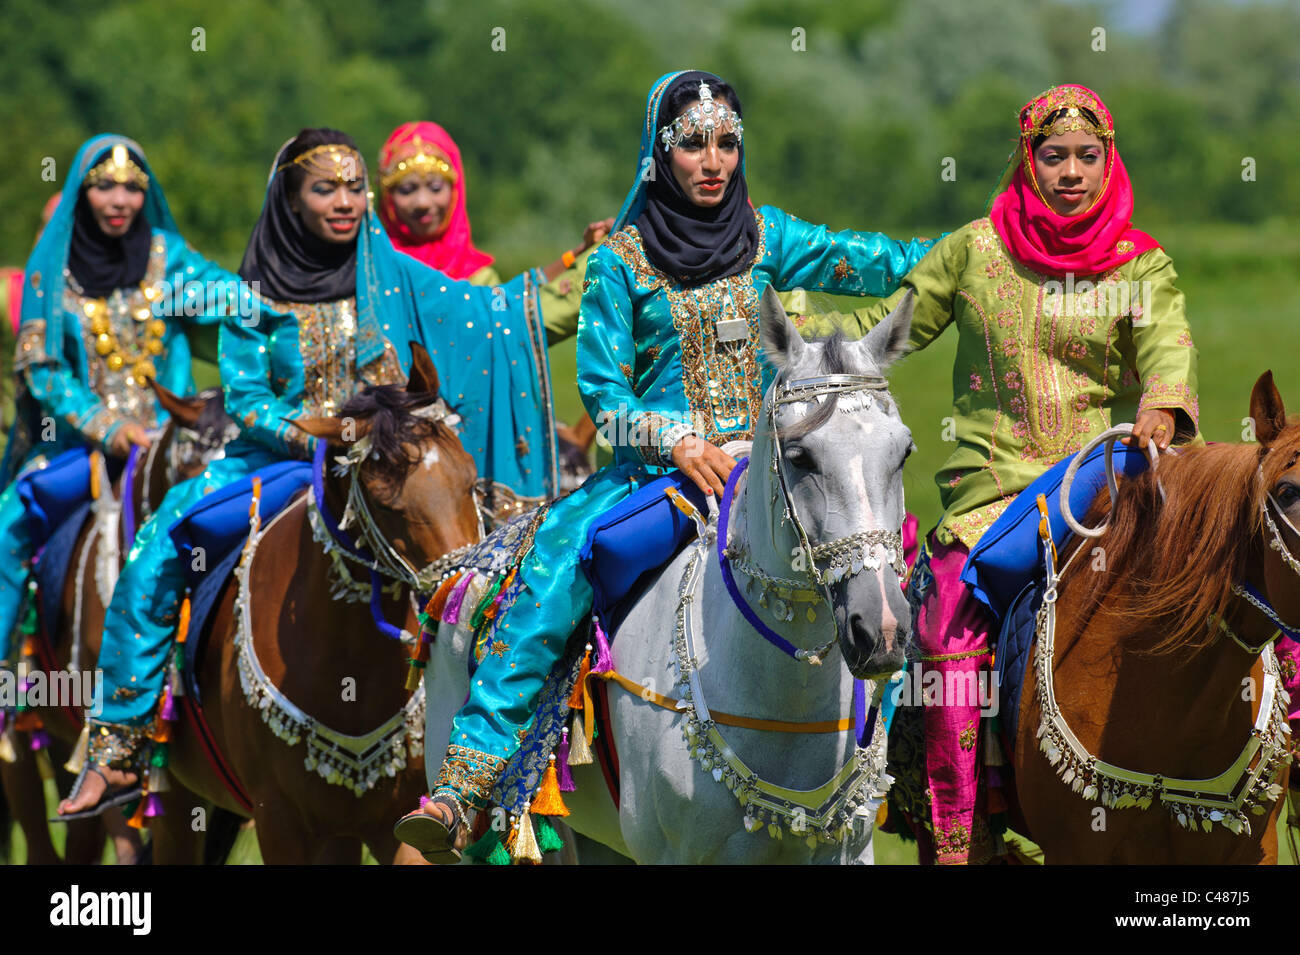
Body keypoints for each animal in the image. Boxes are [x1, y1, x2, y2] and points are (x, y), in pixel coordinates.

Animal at [156, 345, 483, 867]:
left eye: (470, 481)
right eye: (386, 504)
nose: (462, 597)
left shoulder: (401, 823)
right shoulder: (277, 819)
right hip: (176, 798)